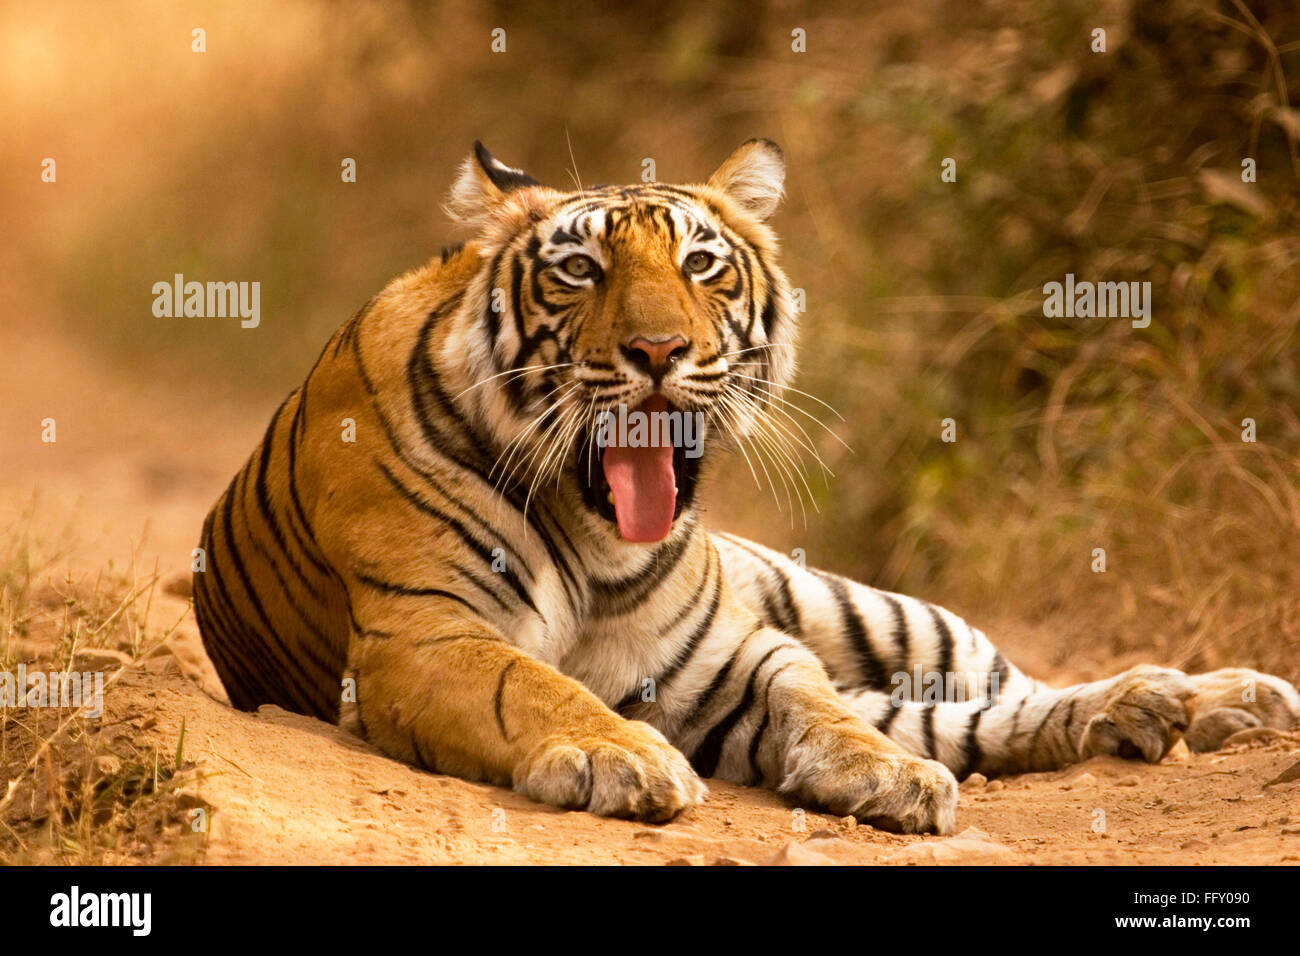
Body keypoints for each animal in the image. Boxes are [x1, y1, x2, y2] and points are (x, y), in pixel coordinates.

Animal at [192, 138, 1300, 832]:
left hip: (869, 607)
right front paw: (626, 756)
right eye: (580, 271)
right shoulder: (422, 635)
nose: (656, 350)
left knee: (995, 689)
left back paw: (1213, 697)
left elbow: (815, 701)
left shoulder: (729, 654)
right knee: (970, 719)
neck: (595, 537)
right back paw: (1163, 711)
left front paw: (884, 775)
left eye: (701, 265)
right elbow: (533, 683)